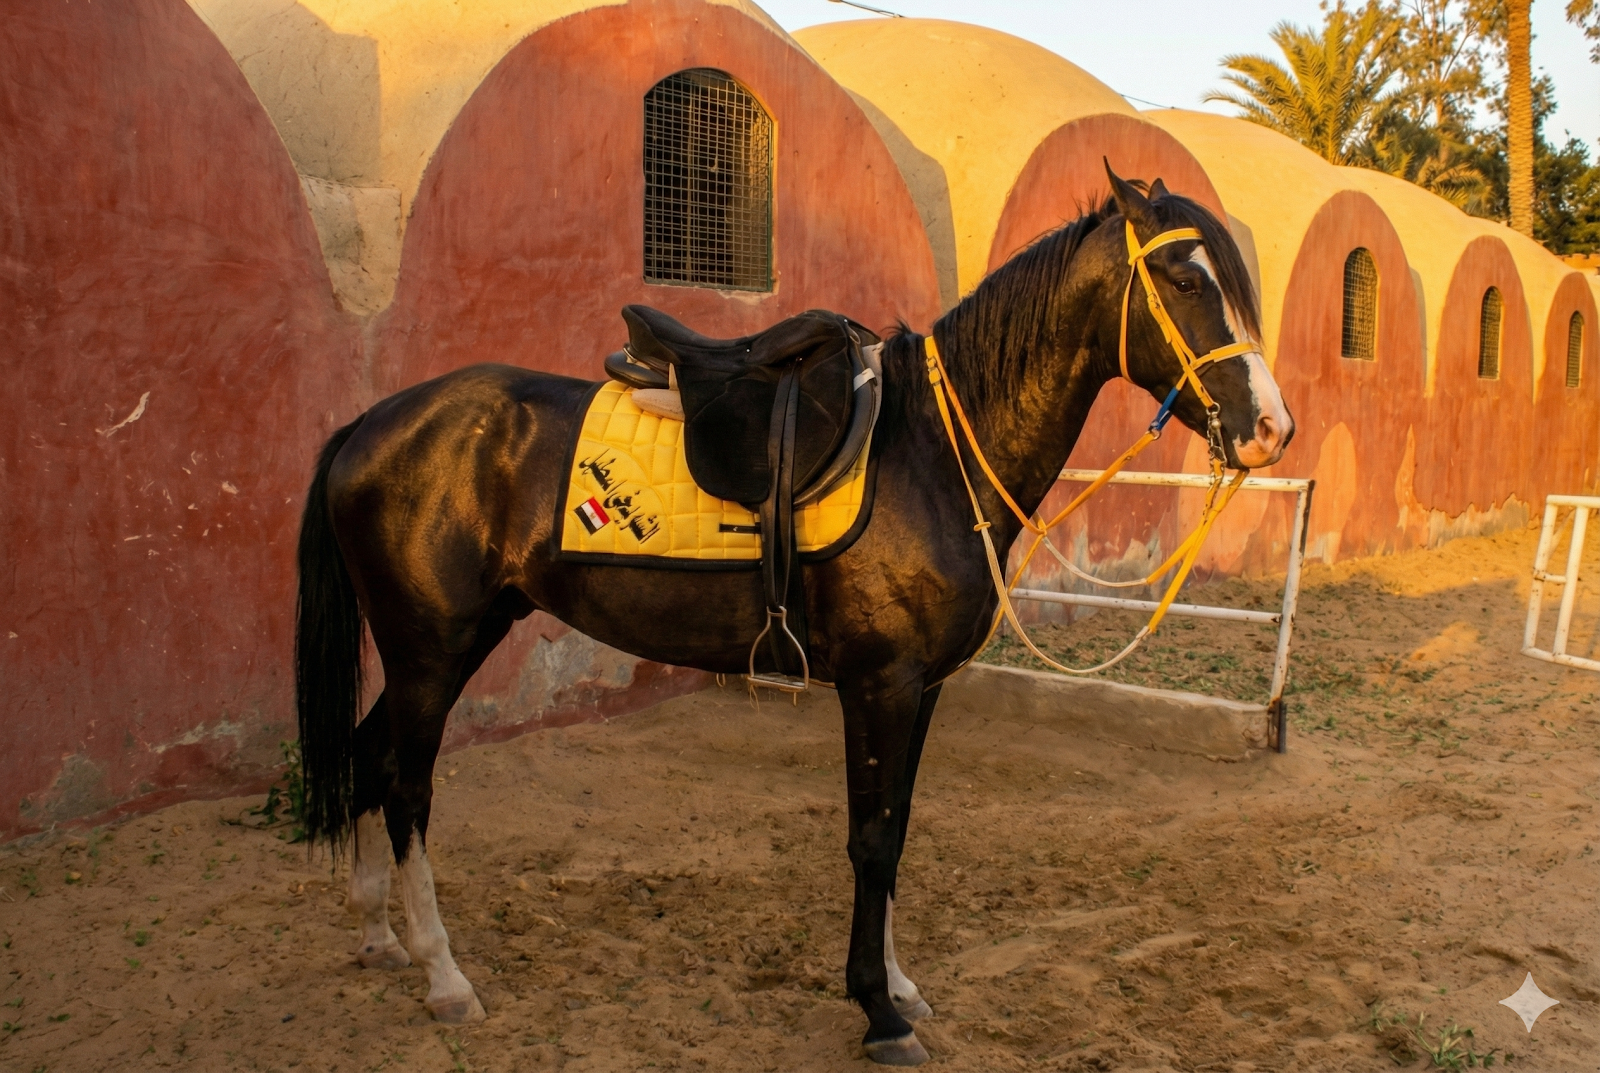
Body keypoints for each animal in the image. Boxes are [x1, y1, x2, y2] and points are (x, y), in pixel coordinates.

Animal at [294, 167, 1293, 1066]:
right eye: (1186, 281)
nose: (1271, 429)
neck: (932, 451)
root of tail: (369, 425)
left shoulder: (923, 688)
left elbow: (897, 825)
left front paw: (900, 986)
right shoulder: (879, 684)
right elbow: (872, 839)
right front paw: (878, 1011)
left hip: (447, 642)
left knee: (369, 755)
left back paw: (379, 934)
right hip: (431, 648)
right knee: (407, 784)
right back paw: (443, 973)